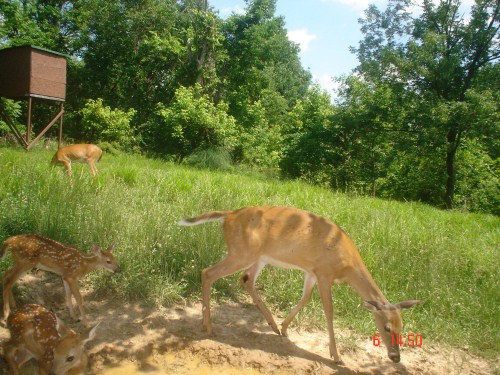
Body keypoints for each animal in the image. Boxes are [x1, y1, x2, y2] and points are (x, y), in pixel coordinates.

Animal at [180, 207, 422, 366]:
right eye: (386, 328)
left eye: (402, 328)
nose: (395, 357)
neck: (347, 264)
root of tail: (228, 215)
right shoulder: (324, 273)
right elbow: (329, 311)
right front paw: (336, 356)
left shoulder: (311, 272)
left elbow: (304, 298)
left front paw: (285, 327)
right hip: (241, 252)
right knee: (208, 273)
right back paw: (208, 326)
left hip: (257, 256)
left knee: (246, 279)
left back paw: (272, 325)